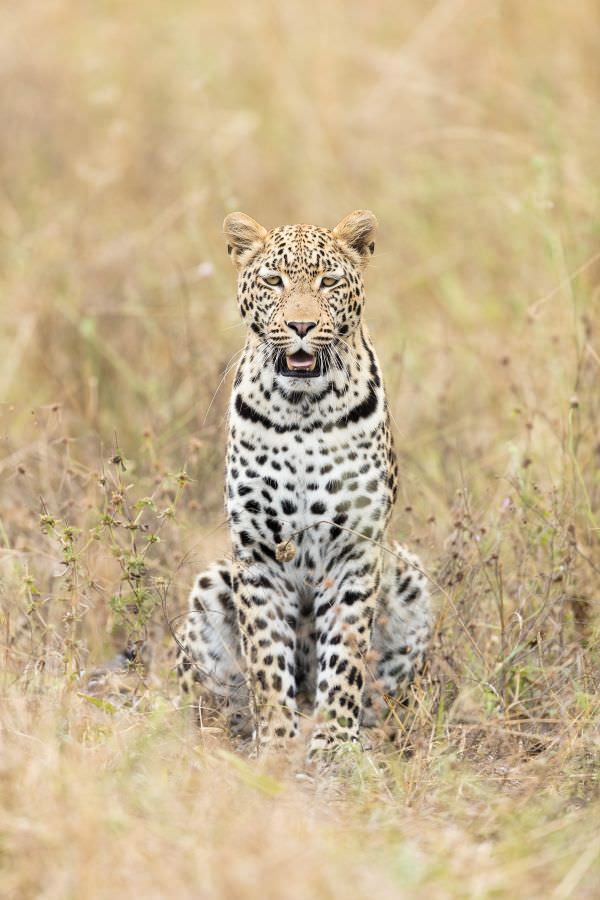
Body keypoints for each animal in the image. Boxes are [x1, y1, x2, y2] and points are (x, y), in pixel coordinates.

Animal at [177, 210, 431, 757]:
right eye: (274, 281)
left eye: (327, 281)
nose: (300, 326)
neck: (302, 409)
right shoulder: (257, 554)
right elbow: (267, 659)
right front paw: (277, 741)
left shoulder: (356, 550)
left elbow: (347, 656)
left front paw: (334, 743)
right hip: (211, 587)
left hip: (409, 578)